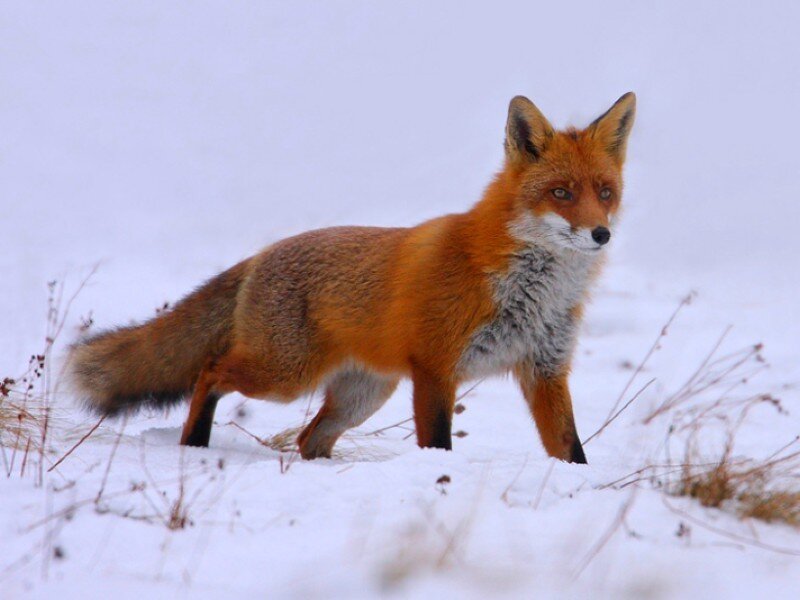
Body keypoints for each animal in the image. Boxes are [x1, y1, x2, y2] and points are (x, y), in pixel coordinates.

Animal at [70, 92, 636, 464]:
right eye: (561, 193)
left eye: (604, 192)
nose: (602, 234)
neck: (533, 291)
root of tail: (260, 255)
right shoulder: (436, 368)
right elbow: (438, 443)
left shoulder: (546, 370)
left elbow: (571, 450)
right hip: (285, 376)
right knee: (209, 372)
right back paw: (194, 443)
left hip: (361, 396)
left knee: (309, 439)